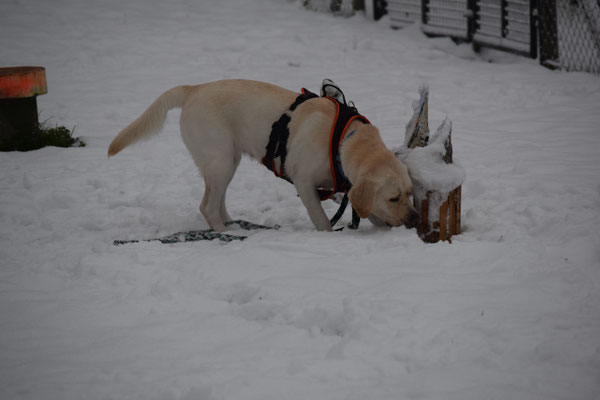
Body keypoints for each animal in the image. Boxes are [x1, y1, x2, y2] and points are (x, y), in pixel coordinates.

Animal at [108, 79, 418, 231]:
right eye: (393, 198)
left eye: (410, 193)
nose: (416, 219)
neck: (345, 142)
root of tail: (193, 90)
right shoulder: (305, 184)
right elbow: (322, 221)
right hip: (220, 161)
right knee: (207, 206)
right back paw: (227, 233)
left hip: (227, 162)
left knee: (217, 201)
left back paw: (232, 224)